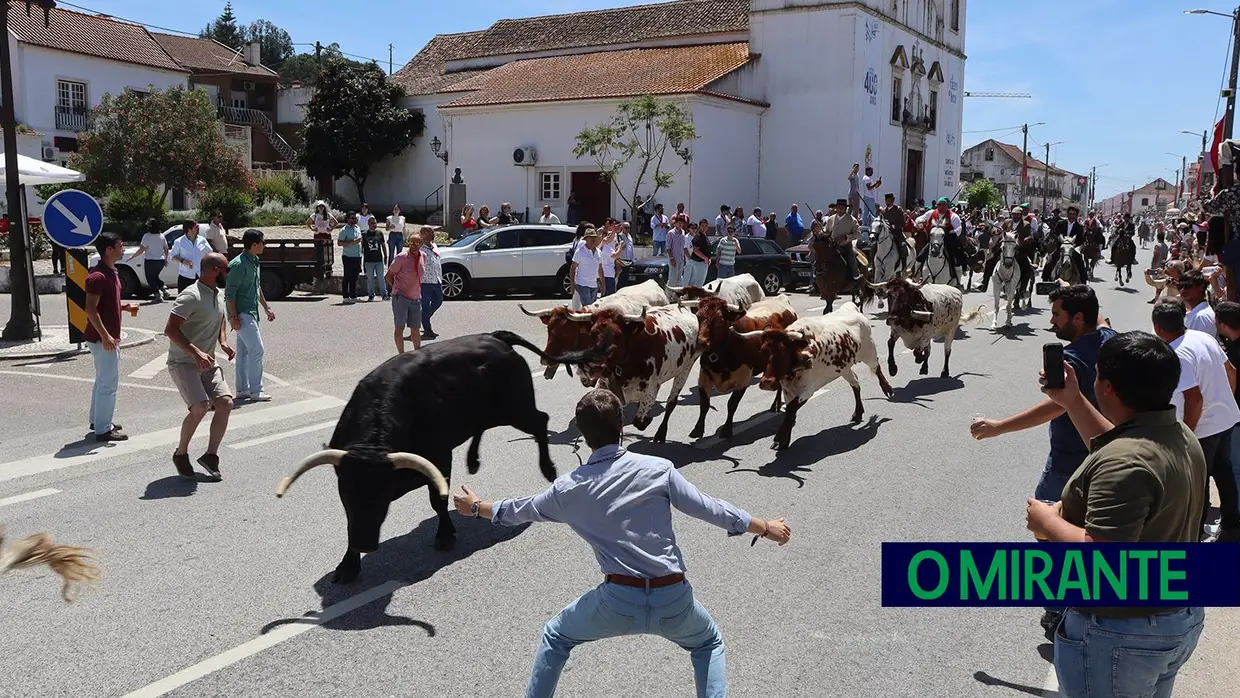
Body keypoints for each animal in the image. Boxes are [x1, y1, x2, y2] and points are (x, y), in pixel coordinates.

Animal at [280, 329, 610, 582]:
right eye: (347, 494)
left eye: (382, 495)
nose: (366, 543)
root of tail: (494, 336)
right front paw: (348, 565)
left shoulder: (439, 459)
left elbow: (437, 500)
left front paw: (445, 535)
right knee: (484, 426)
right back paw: (474, 461)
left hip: (515, 408)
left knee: (540, 421)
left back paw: (548, 469)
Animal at [694, 293, 798, 436]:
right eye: (698, 316)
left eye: (720, 319)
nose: (701, 342)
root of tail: (781, 300)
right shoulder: (703, 375)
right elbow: (704, 404)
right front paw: (697, 429)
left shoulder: (743, 378)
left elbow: (732, 404)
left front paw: (727, 429)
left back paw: (776, 405)